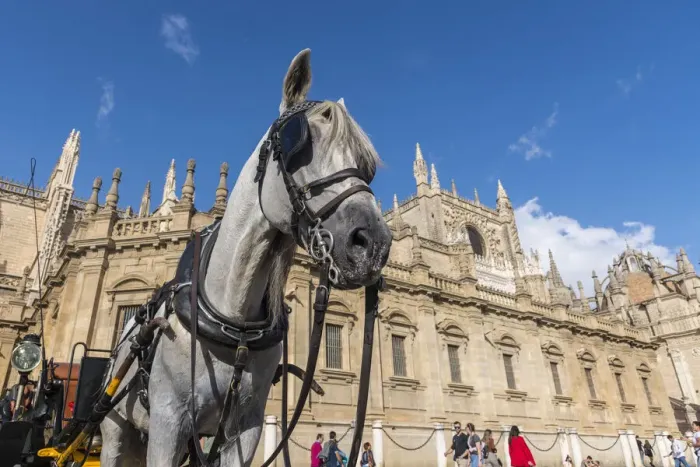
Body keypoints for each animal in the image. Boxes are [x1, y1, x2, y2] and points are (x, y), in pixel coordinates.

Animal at [98, 48, 392, 467]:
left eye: (365, 162)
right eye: (299, 144)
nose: (374, 244)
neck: (234, 323)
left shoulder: (245, 428)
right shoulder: (168, 423)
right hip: (116, 429)